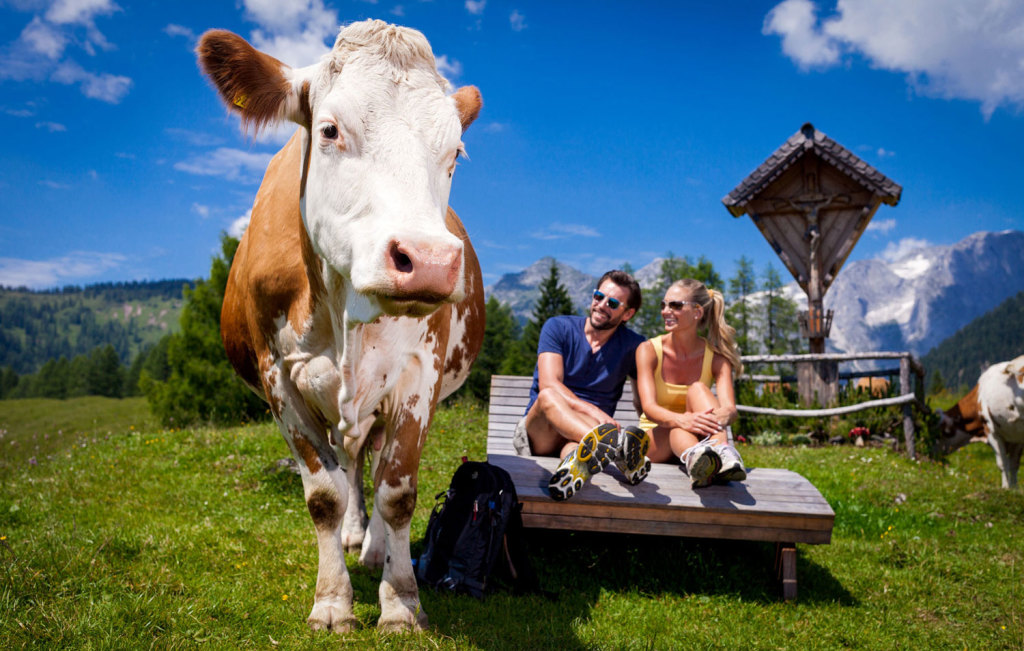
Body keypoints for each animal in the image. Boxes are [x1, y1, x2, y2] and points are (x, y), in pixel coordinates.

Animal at [937, 356, 1024, 487]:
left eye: (939, 433)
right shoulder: (1016, 436)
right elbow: (1014, 465)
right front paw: (1015, 489)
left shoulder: (991, 430)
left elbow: (1002, 464)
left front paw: (1005, 487)